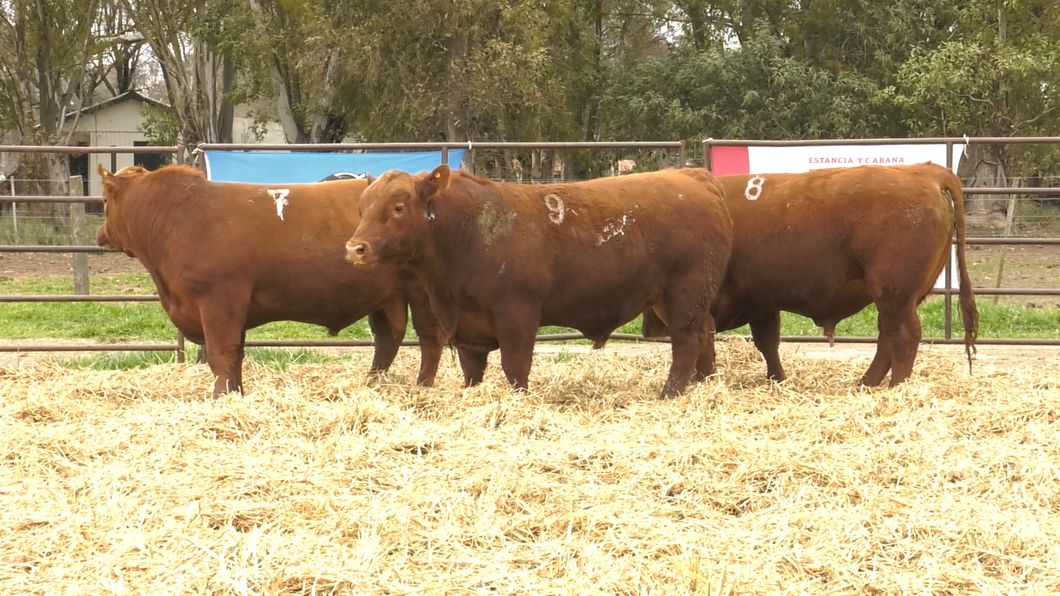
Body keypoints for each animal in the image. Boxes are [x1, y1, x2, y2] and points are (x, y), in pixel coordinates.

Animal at [97, 163, 445, 394]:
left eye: (103, 201)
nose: (100, 234)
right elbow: (236, 356)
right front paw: (236, 393)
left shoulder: (219, 303)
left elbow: (220, 356)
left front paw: (219, 397)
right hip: (387, 296)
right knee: (388, 338)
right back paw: (372, 382)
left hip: (423, 293)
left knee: (430, 339)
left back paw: (423, 386)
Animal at [343, 164, 733, 394]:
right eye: (361, 207)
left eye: (398, 207)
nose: (355, 248)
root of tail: (692, 175)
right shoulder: (467, 326)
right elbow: (473, 371)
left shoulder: (517, 314)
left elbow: (515, 366)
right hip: (673, 299)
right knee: (705, 333)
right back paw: (705, 382)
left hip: (685, 292)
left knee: (686, 341)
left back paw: (672, 391)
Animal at [644, 162, 975, 386]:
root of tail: (922, 171)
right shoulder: (762, 301)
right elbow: (767, 343)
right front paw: (777, 380)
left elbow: (705, 344)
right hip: (898, 297)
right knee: (887, 337)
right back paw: (867, 383)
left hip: (895, 293)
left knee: (902, 336)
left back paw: (896, 387)